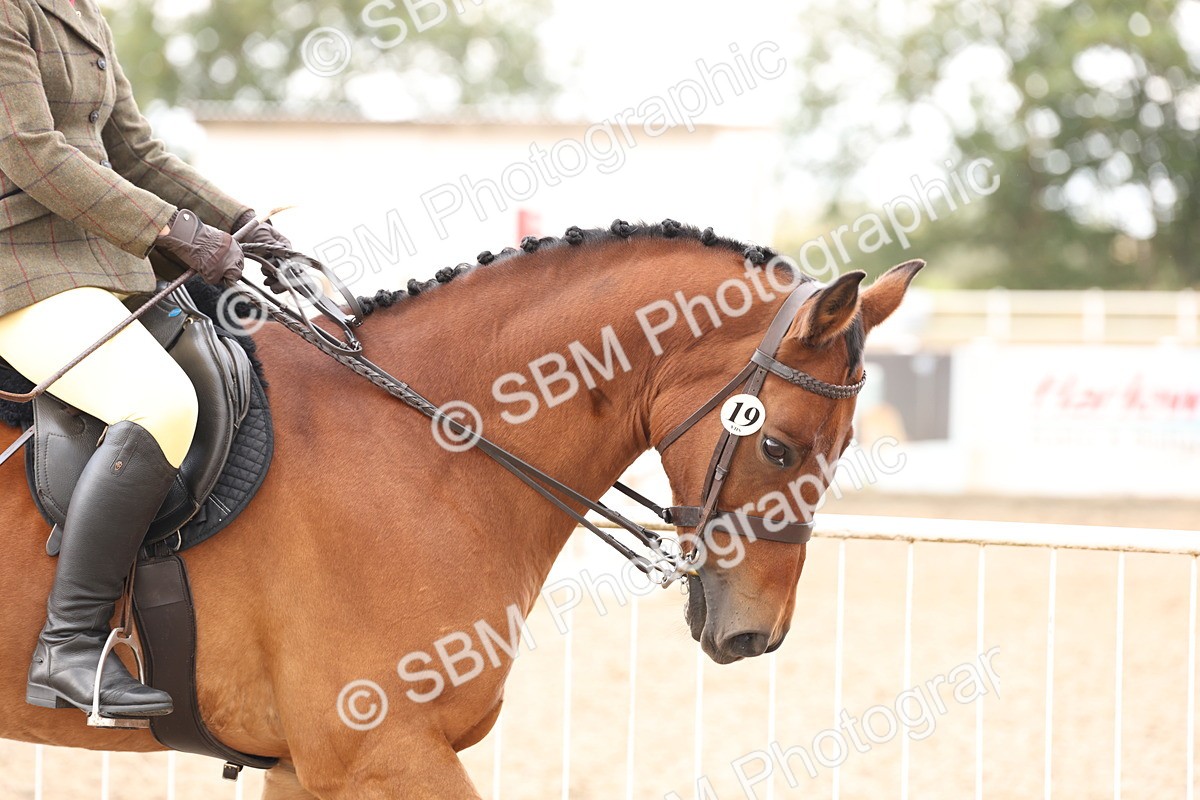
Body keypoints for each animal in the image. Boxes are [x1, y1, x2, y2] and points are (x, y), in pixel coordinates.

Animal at [0, 221, 922, 798]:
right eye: (781, 449)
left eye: (845, 445)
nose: (755, 634)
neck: (429, 447)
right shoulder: (381, 753)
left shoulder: (305, 767)